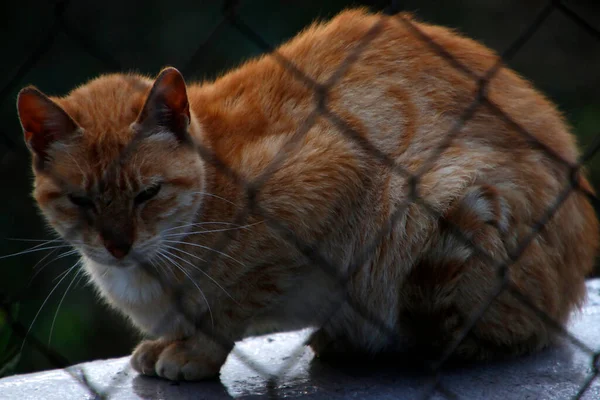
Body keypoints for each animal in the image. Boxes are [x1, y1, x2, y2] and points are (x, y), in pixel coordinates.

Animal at [16, 7, 596, 380]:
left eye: (147, 193)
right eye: (82, 200)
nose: (118, 246)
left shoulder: (329, 178)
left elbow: (229, 305)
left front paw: (193, 352)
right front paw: (166, 342)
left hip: (442, 204)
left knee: (493, 335)